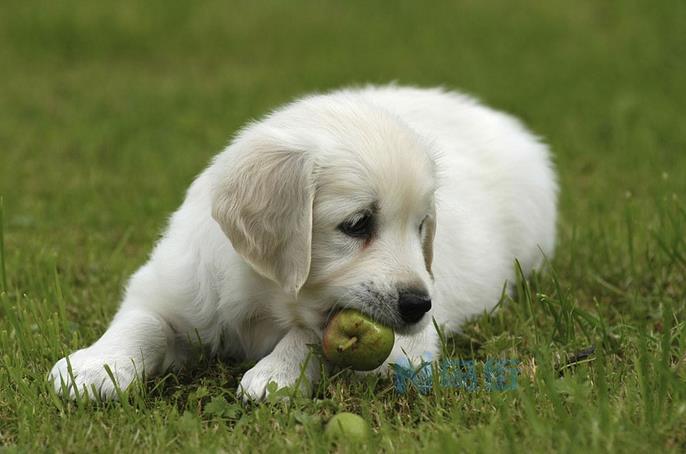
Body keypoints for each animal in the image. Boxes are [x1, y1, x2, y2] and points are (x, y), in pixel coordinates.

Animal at [49, 85, 560, 400]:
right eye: (357, 224)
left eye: (421, 227)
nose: (419, 305)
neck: (266, 298)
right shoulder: (172, 283)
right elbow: (142, 321)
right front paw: (95, 366)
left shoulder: (407, 350)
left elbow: (314, 333)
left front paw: (275, 375)